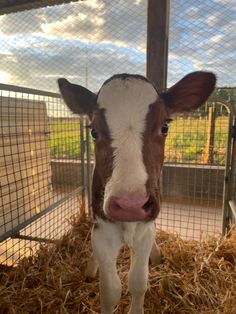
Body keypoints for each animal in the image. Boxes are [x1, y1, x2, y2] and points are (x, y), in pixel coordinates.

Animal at [58, 72, 216, 314]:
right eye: (93, 131)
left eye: (164, 127)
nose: (129, 205)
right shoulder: (102, 231)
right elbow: (110, 290)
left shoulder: (145, 231)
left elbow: (138, 282)